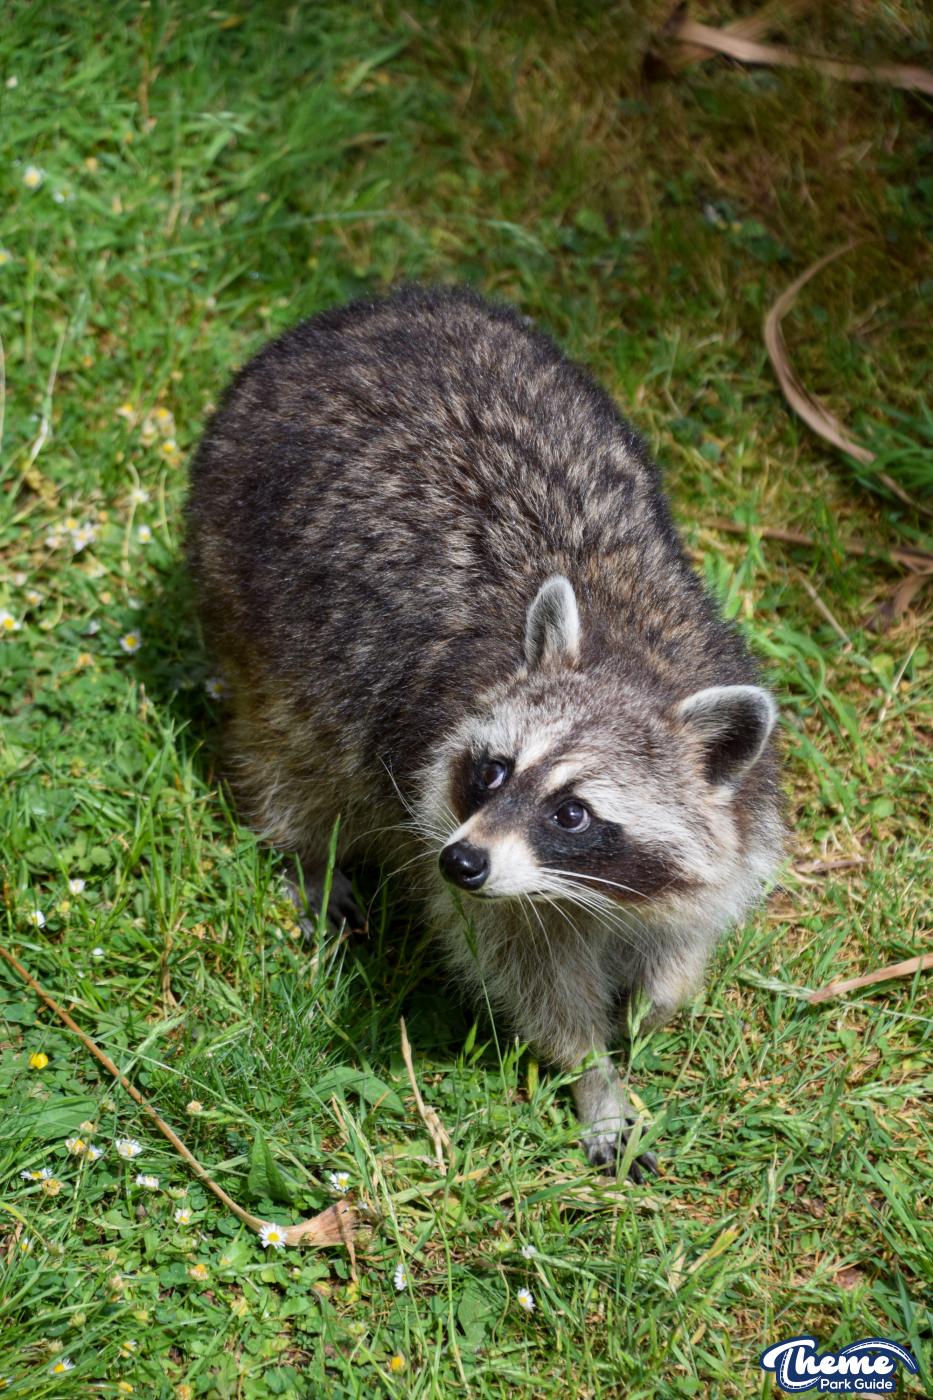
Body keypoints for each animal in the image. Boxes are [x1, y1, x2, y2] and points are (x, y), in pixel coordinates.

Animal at [186, 285, 783, 1178]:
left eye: (571, 812)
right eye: (494, 771)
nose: (461, 860)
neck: (629, 659)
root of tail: (372, 305)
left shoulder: (740, 810)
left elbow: (692, 927)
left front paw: (656, 998)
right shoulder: (453, 828)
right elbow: (526, 973)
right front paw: (592, 1073)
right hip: (239, 581)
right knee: (285, 754)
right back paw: (311, 853)